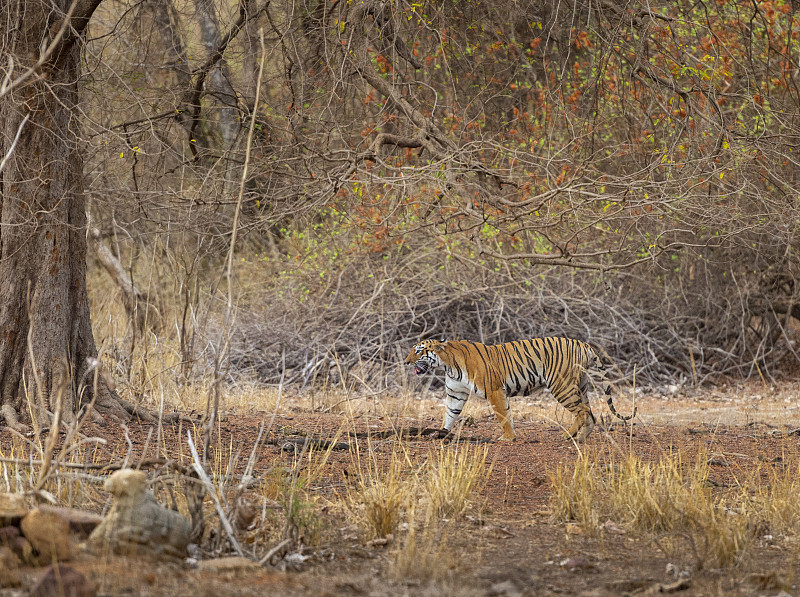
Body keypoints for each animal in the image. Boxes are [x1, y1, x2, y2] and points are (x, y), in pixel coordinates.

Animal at [406, 336, 636, 442]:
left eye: (418, 351)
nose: (406, 362)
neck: (447, 364)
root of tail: (583, 344)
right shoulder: (456, 393)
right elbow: (450, 414)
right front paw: (442, 433)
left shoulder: (494, 390)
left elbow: (503, 415)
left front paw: (508, 438)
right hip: (580, 385)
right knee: (590, 412)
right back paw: (580, 438)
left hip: (561, 386)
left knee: (582, 410)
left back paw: (567, 435)